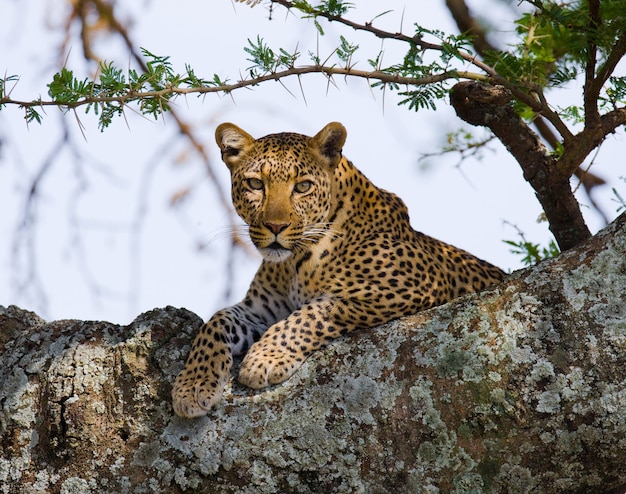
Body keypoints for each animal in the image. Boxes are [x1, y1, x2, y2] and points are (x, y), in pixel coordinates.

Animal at [171, 119, 502, 416]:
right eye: (255, 184)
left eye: (303, 186)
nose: (276, 227)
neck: (293, 264)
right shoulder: (262, 311)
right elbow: (216, 321)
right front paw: (193, 385)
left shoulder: (409, 286)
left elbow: (314, 312)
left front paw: (265, 358)